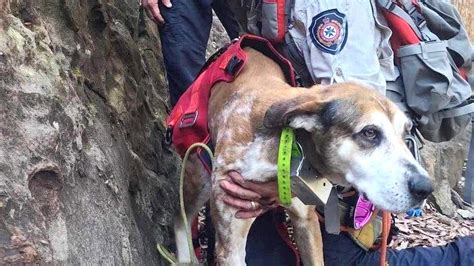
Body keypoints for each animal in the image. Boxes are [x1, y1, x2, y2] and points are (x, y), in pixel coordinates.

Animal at [174, 48, 434, 266]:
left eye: (405, 133)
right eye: (370, 132)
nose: (426, 188)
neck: (284, 144)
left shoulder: (306, 221)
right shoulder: (231, 243)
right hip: (198, 178)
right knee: (181, 219)